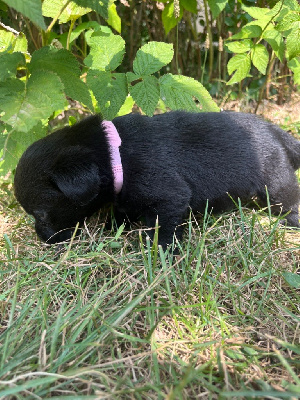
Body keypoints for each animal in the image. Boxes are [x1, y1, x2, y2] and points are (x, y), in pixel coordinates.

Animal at [14, 111, 300, 247]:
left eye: (40, 214)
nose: (42, 239)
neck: (116, 154)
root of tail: (277, 132)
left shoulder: (169, 198)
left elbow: (163, 230)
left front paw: (160, 253)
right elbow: (121, 210)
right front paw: (112, 227)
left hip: (276, 184)